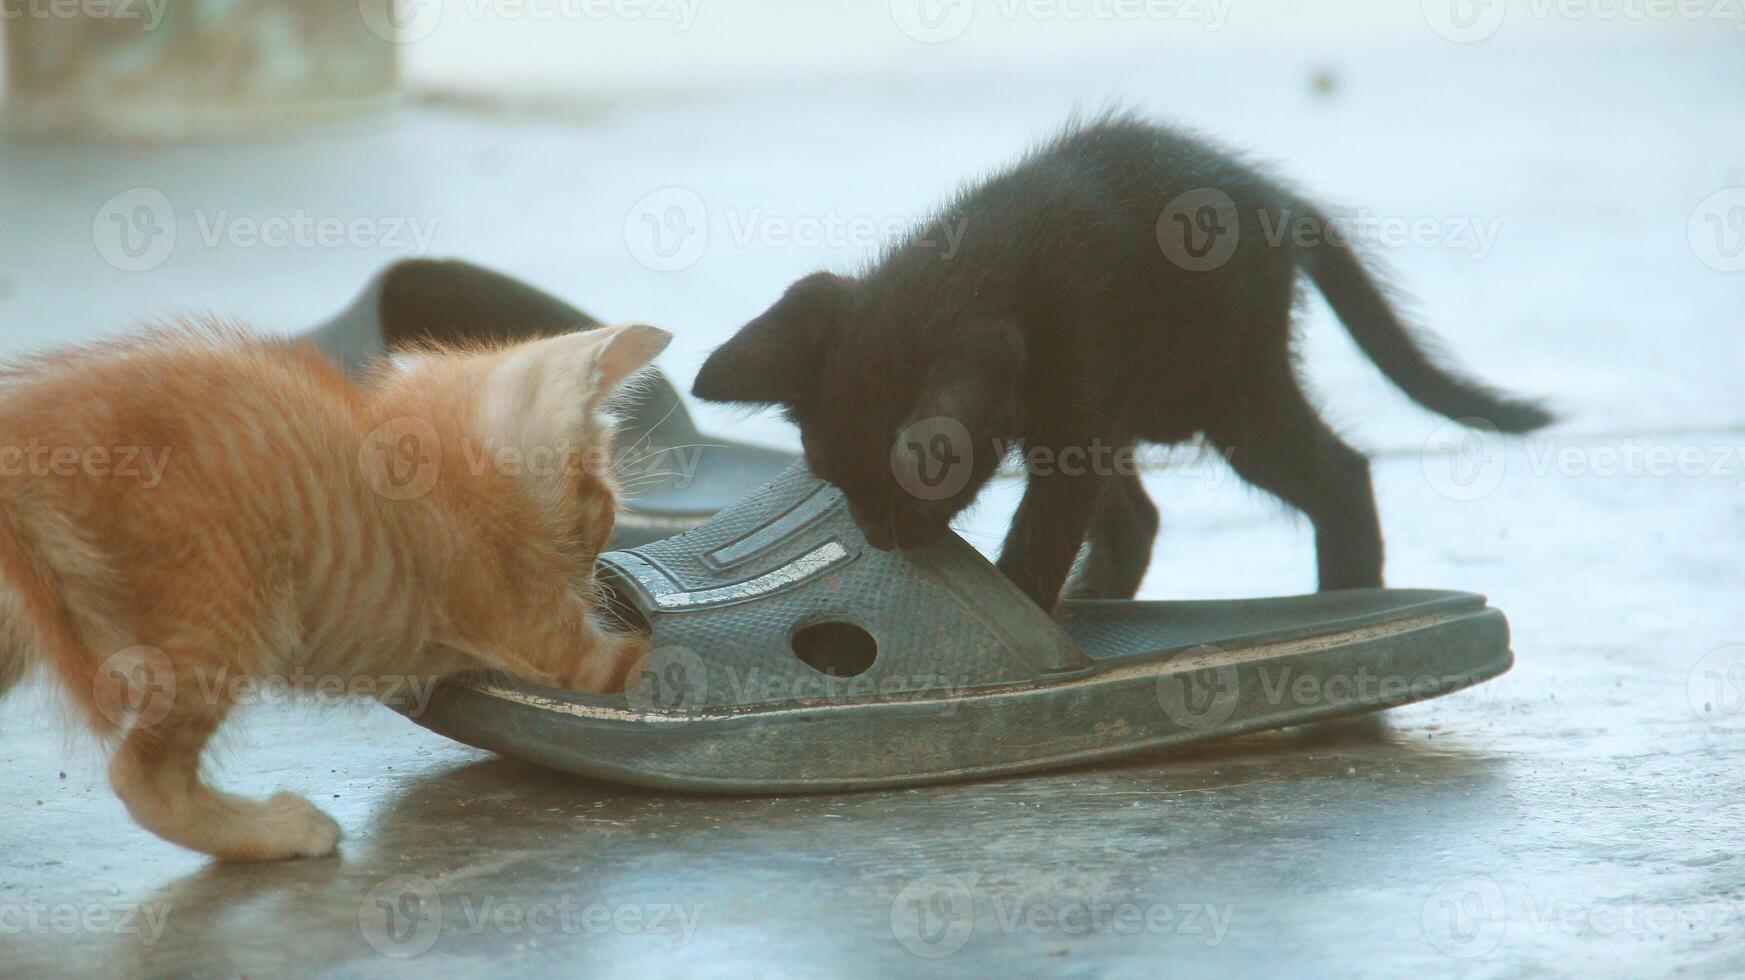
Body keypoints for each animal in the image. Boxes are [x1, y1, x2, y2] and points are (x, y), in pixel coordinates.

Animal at [0, 320, 666, 854]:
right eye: (604, 510)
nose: (594, 575)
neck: (447, 475)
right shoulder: (538, 630)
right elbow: (628, 665)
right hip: (220, 597)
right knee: (143, 776)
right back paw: (278, 832)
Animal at [687, 110, 1549, 606]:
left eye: (913, 483)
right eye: (833, 482)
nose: (881, 538)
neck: (978, 269)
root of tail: (1278, 203)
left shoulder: (1072, 412)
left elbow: (1039, 537)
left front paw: (1021, 611)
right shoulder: (1071, 420)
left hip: (1230, 390)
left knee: (1338, 473)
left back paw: (1346, 593)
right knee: (1138, 517)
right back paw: (1101, 596)